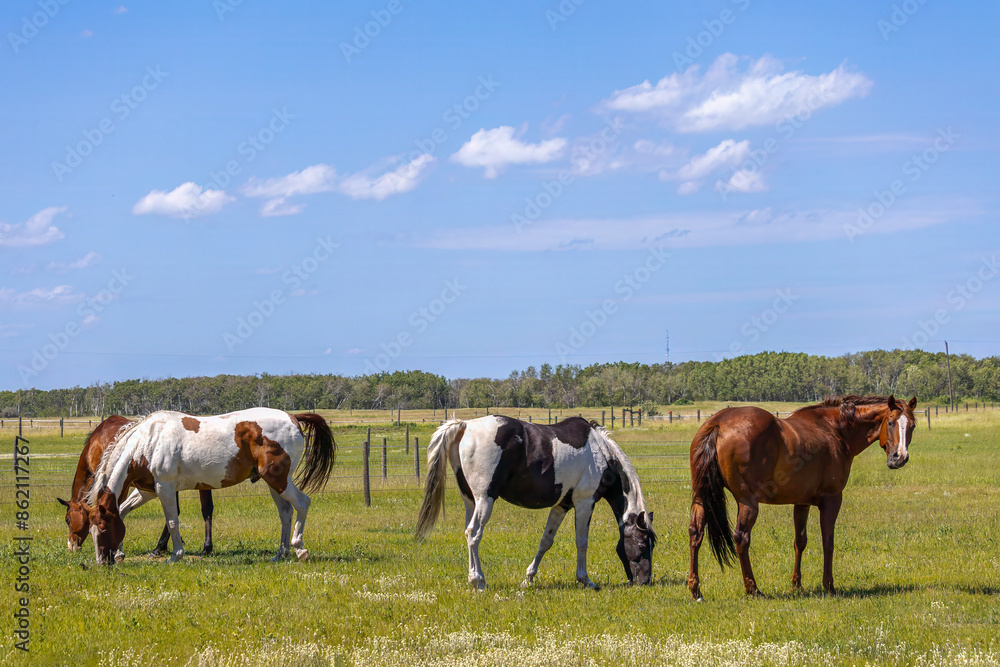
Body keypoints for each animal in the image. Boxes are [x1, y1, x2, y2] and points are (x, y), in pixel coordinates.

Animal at [87, 408, 334, 564]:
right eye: (91, 530)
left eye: (103, 528)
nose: (102, 562)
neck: (149, 440)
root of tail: (292, 417)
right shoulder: (147, 490)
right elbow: (123, 511)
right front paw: (120, 553)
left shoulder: (164, 488)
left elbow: (172, 521)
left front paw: (175, 555)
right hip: (274, 484)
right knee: (285, 513)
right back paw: (280, 554)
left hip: (279, 480)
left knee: (302, 503)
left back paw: (299, 548)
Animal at [416, 416, 656, 589]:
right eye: (643, 544)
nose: (645, 582)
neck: (601, 453)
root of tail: (466, 425)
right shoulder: (584, 503)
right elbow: (582, 542)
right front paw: (585, 580)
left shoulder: (562, 506)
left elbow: (545, 542)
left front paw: (528, 579)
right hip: (485, 500)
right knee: (474, 534)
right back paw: (478, 582)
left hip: (470, 501)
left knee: (468, 533)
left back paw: (477, 579)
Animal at [687, 394, 917, 600]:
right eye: (890, 423)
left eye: (912, 426)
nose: (900, 458)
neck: (835, 429)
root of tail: (717, 424)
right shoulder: (832, 499)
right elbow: (828, 542)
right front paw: (829, 586)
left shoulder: (801, 503)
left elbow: (800, 541)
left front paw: (796, 584)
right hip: (748, 502)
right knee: (741, 538)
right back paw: (753, 589)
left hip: (701, 498)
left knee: (695, 533)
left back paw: (696, 590)